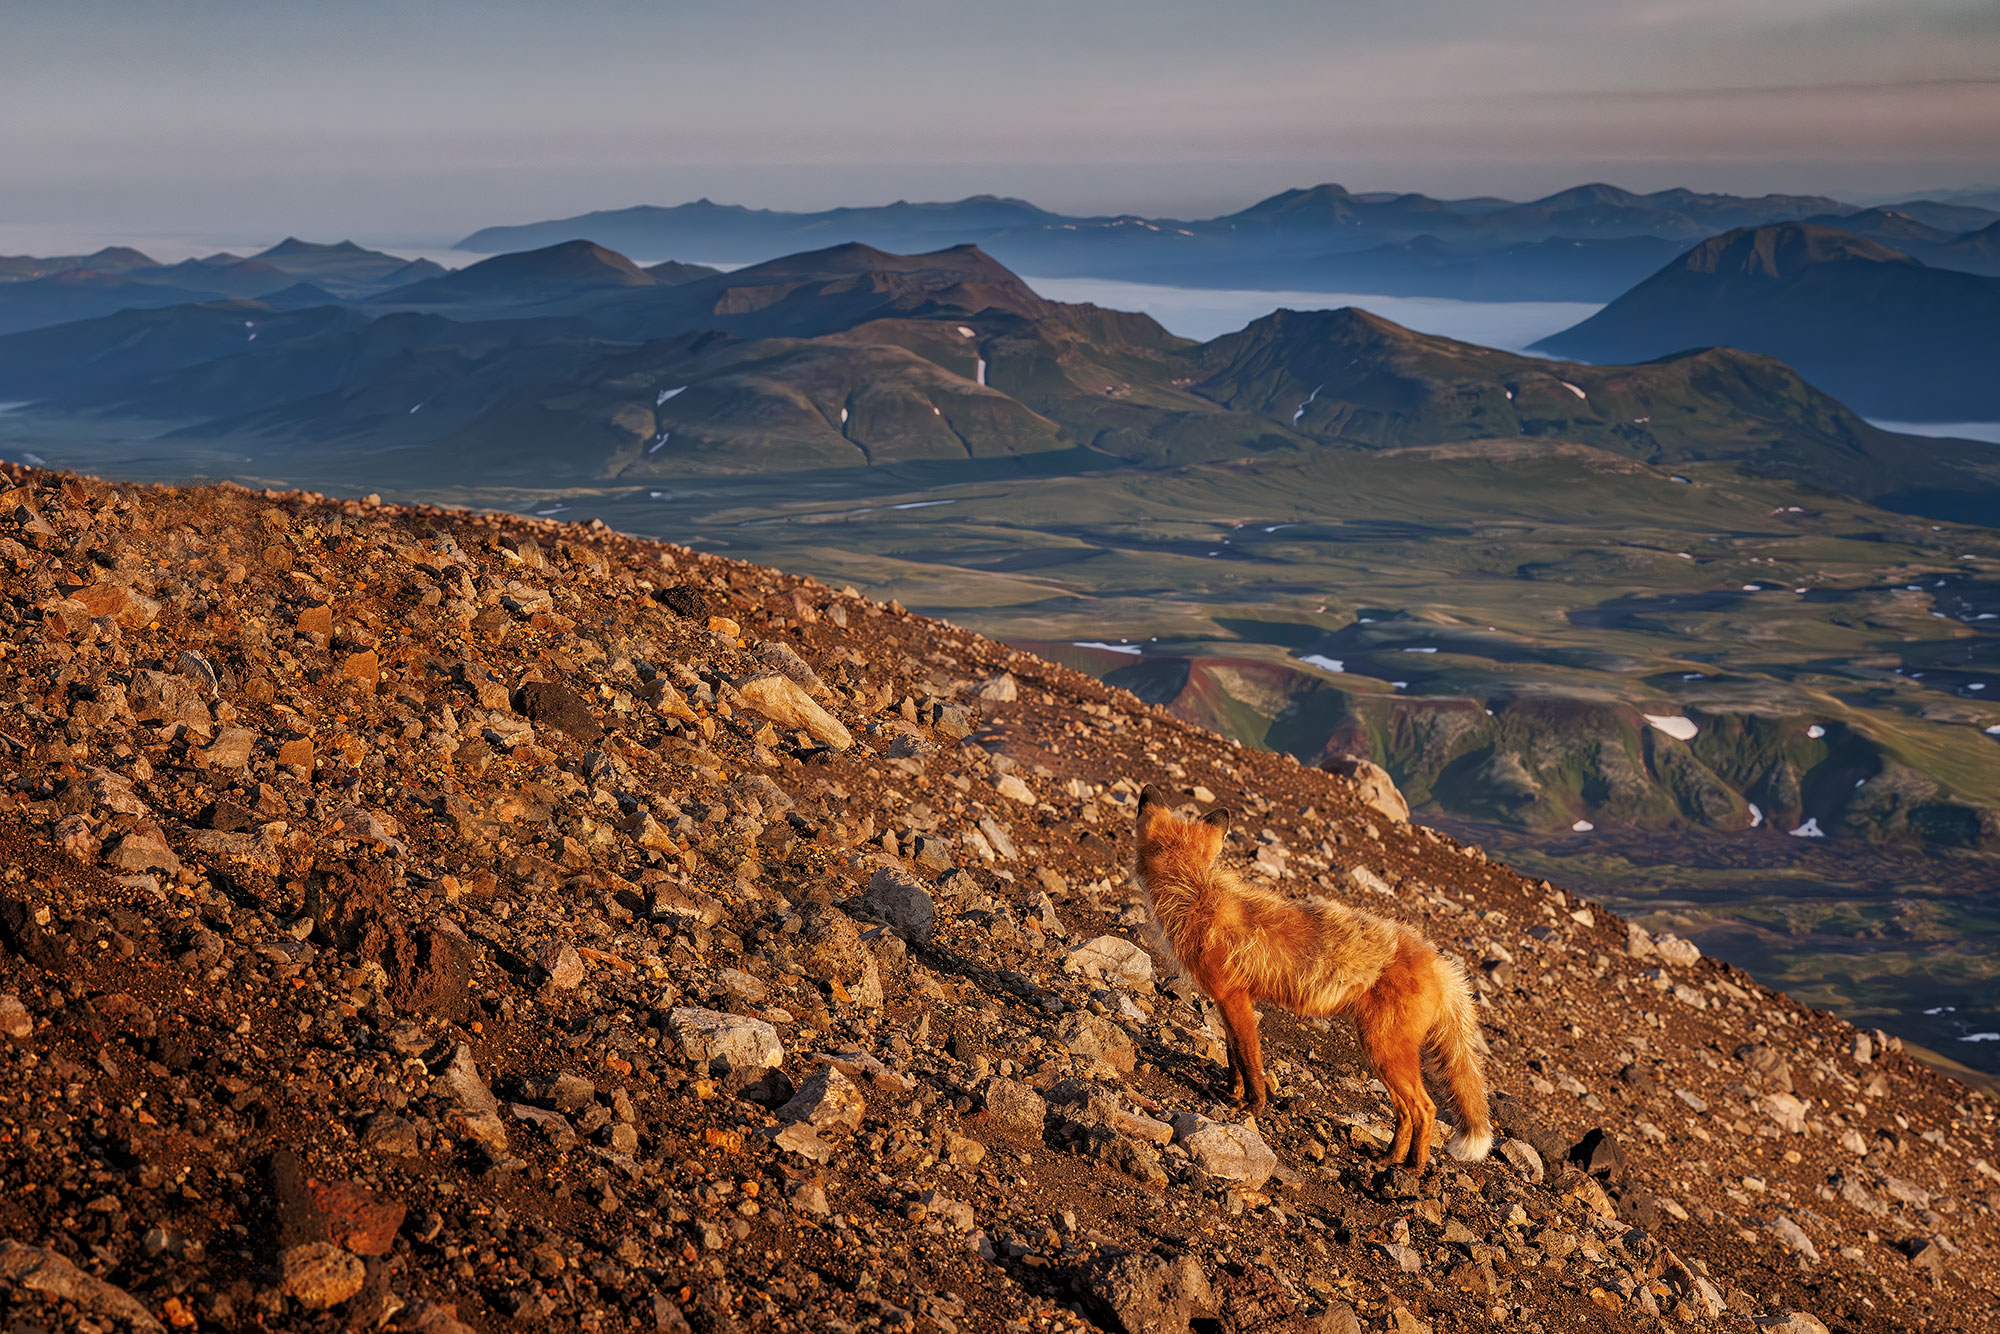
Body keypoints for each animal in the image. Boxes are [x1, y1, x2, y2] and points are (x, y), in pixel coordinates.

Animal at [1144, 784, 1488, 1168]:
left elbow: (1250, 1058)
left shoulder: (1235, 998)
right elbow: (1234, 1056)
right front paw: (1231, 1092)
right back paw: (1388, 1159)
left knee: (1425, 1109)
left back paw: (1410, 1169)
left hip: (1384, 1050)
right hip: (1383, 1053)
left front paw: (1253, 1106)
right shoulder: (1225, 1000)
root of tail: (1438, 960)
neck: (1198, 895)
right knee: (1405, 1113)